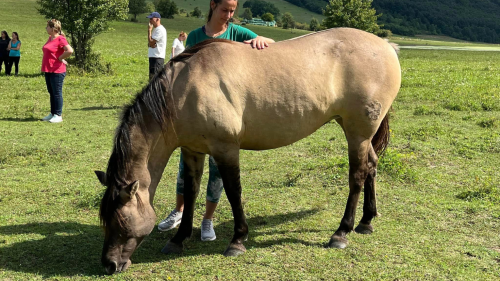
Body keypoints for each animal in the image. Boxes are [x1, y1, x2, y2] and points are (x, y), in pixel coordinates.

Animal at [94, 27, 402, 272]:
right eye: (105, 221)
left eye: (121, 222)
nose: (109, 264)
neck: (184, 89)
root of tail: (387, 46)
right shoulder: (192, 150)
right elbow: (190, 192)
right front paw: (179, 238)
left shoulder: (226, 149)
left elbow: (233, 192)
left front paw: (238, 240)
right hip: (361, 136)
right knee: (372, 166)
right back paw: (366, 221)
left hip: (357, 134)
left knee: (357, 175)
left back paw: (342, 232)